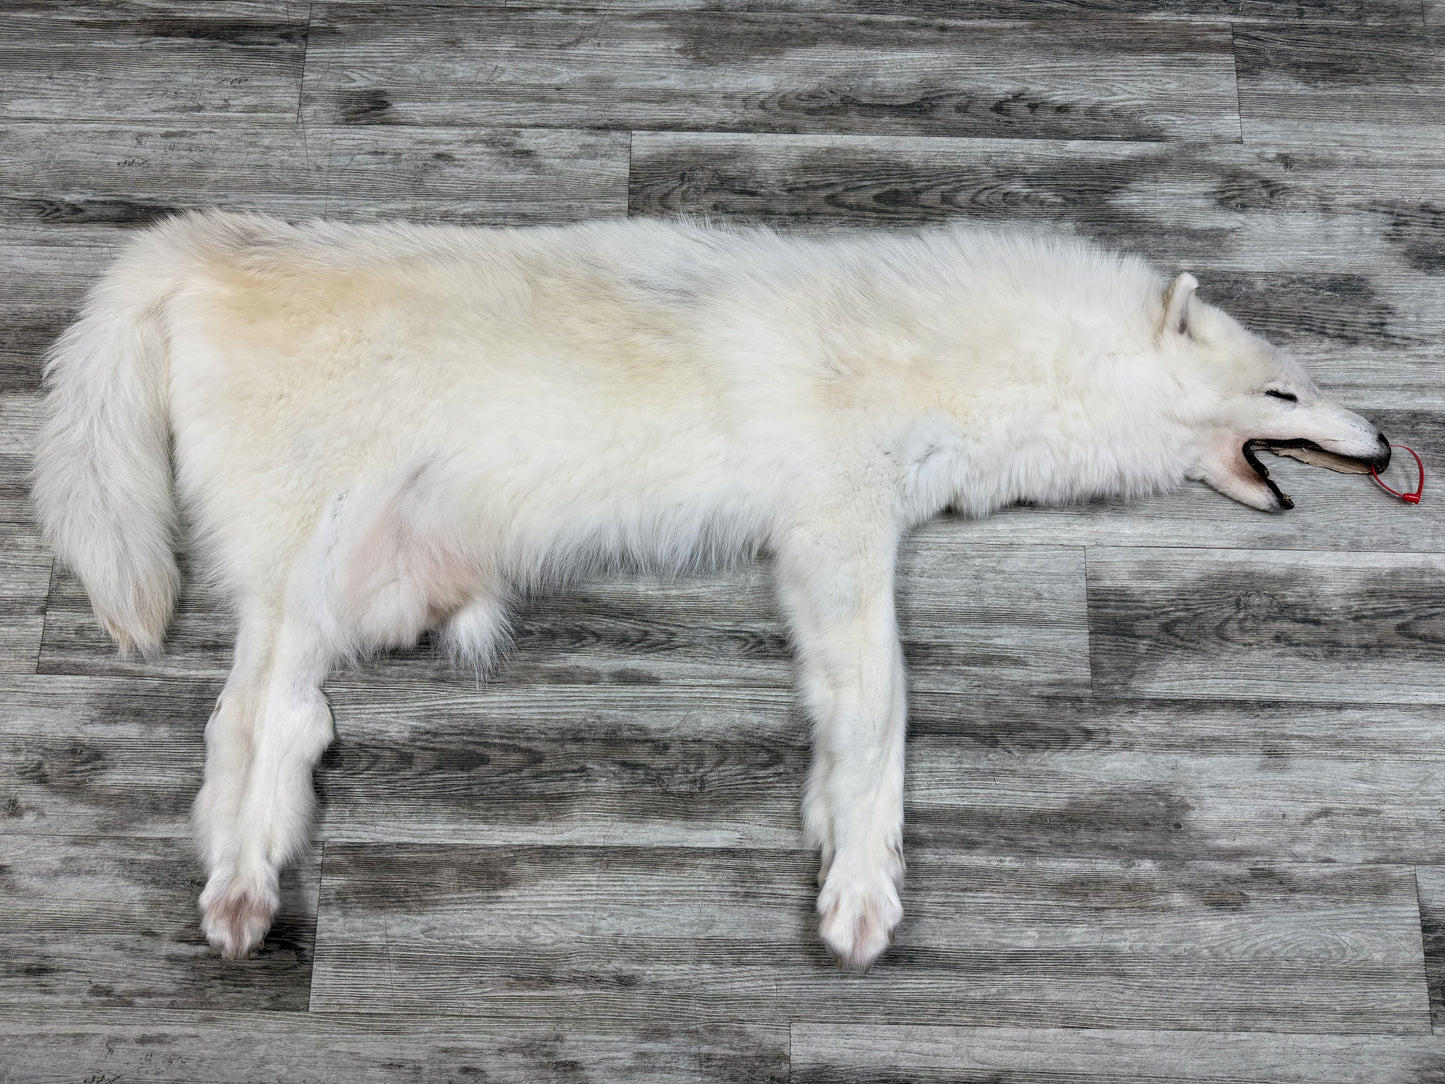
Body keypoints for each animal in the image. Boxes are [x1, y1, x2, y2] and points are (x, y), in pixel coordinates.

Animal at [32, 213, 1389, 969]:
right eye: (1284, 391)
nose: (1385, 446)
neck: (948, 360)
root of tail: (198, 249)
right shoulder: (836, 536)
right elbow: (880, 719)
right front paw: (861, 893)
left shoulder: (829, 549)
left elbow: (850, 727)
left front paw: (840, 849)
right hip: (303, 571)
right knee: (249, 719)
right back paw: (242, 893)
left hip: (354, 598)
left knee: (274, 726)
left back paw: (246, 869)